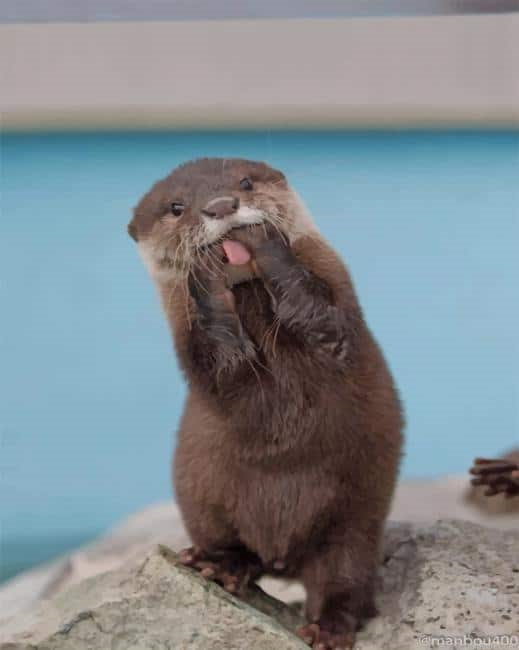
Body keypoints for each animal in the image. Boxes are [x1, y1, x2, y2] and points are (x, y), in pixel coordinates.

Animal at [128, 158, 403, 649]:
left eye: (244, 182)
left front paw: (265, 240)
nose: (221, 206)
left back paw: (328, 628)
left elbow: (324, 319)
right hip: (203, 500)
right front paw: (204, 273)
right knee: (231, 544)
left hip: (354, 524)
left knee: (344, 579)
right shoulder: (192, 343)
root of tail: (281, 557)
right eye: (176, 207)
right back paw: (222, 565)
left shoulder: (335, 294)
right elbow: (221, 362)